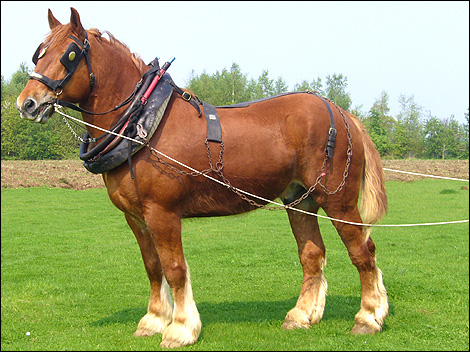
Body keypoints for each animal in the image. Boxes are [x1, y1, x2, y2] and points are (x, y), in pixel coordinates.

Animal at [15, 8, 390, 350]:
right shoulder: (136, 216)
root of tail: (342, 114)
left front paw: (180, 329)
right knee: (312, 255)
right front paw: (154, 320)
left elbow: (174, 269)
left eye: (69, 54)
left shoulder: (162, 213)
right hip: (301, 200)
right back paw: (302, 315)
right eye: (40, 52)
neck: (142, 123)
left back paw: (369, 317)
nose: (27, 103)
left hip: (338, 200)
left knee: (363, 252)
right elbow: (152, 266)